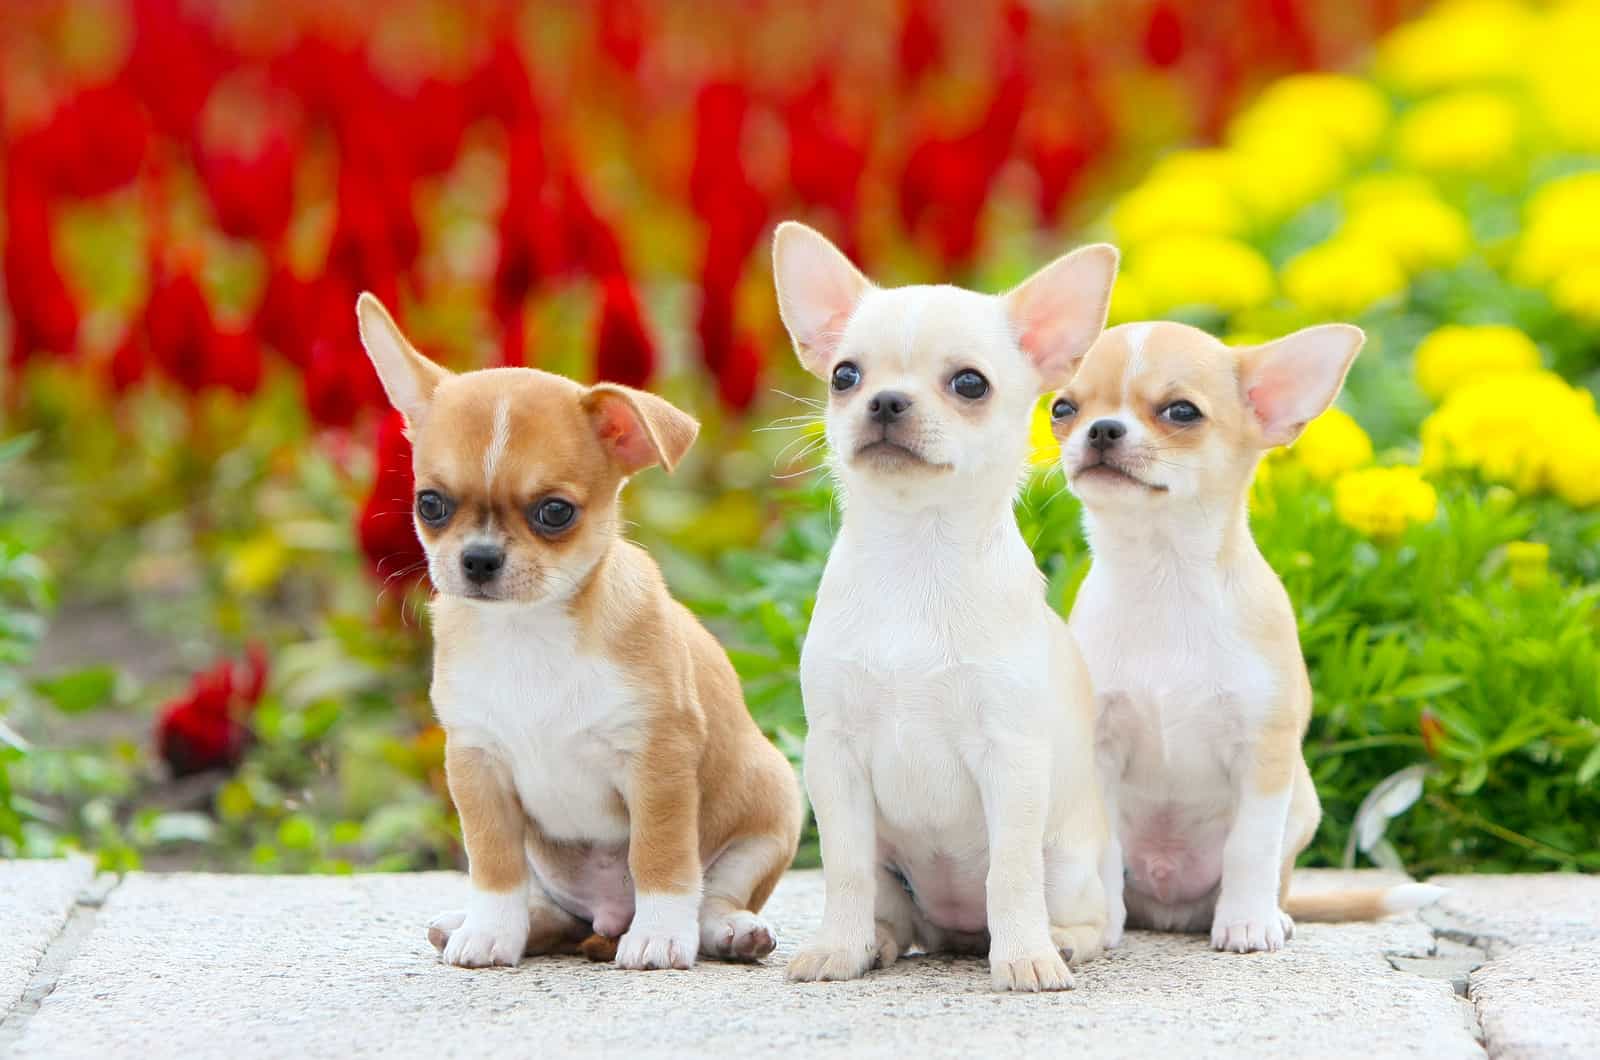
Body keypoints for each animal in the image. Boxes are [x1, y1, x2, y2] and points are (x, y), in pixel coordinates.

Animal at [353, 294, 796, 973]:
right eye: (431, 504)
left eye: (554, 512)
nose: (478, 558)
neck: (528, 634)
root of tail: (604, 919)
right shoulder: (477, 766)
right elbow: (494, 864)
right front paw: (490, 929)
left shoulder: (657, 761)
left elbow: (661, 857)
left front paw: (659, 935)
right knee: (552, 913)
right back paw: (487, 924)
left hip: (773, 807)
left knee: (714, 893)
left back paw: (726, 931)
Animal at [771, 224, 1113, 999]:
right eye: (844, 377)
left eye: (969, 384)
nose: (885, 402)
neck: (916, 554)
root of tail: (955, 933)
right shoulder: (834, 759)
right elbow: (842, 871)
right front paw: (837, 948)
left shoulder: (1012, 758)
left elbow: (1010, 873)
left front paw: (1025, 958)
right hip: (893, 871)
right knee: (889, 908)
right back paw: (874, 942)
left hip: (1070, 864)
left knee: (1087, 915)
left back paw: (1060, 942)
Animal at [1056, 321, 1446, 954]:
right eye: (1063, 409)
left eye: (1182, 411)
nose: (1102, 428)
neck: (1164, 576)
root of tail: (1170, 911)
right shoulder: (1098, 750)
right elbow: (1105, 845)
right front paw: (1103, 925)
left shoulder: (1263, 752)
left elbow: (1250, 846)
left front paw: (1246, 923)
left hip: (1302, 803)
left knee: (1275, 874)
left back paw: (1270, 914)